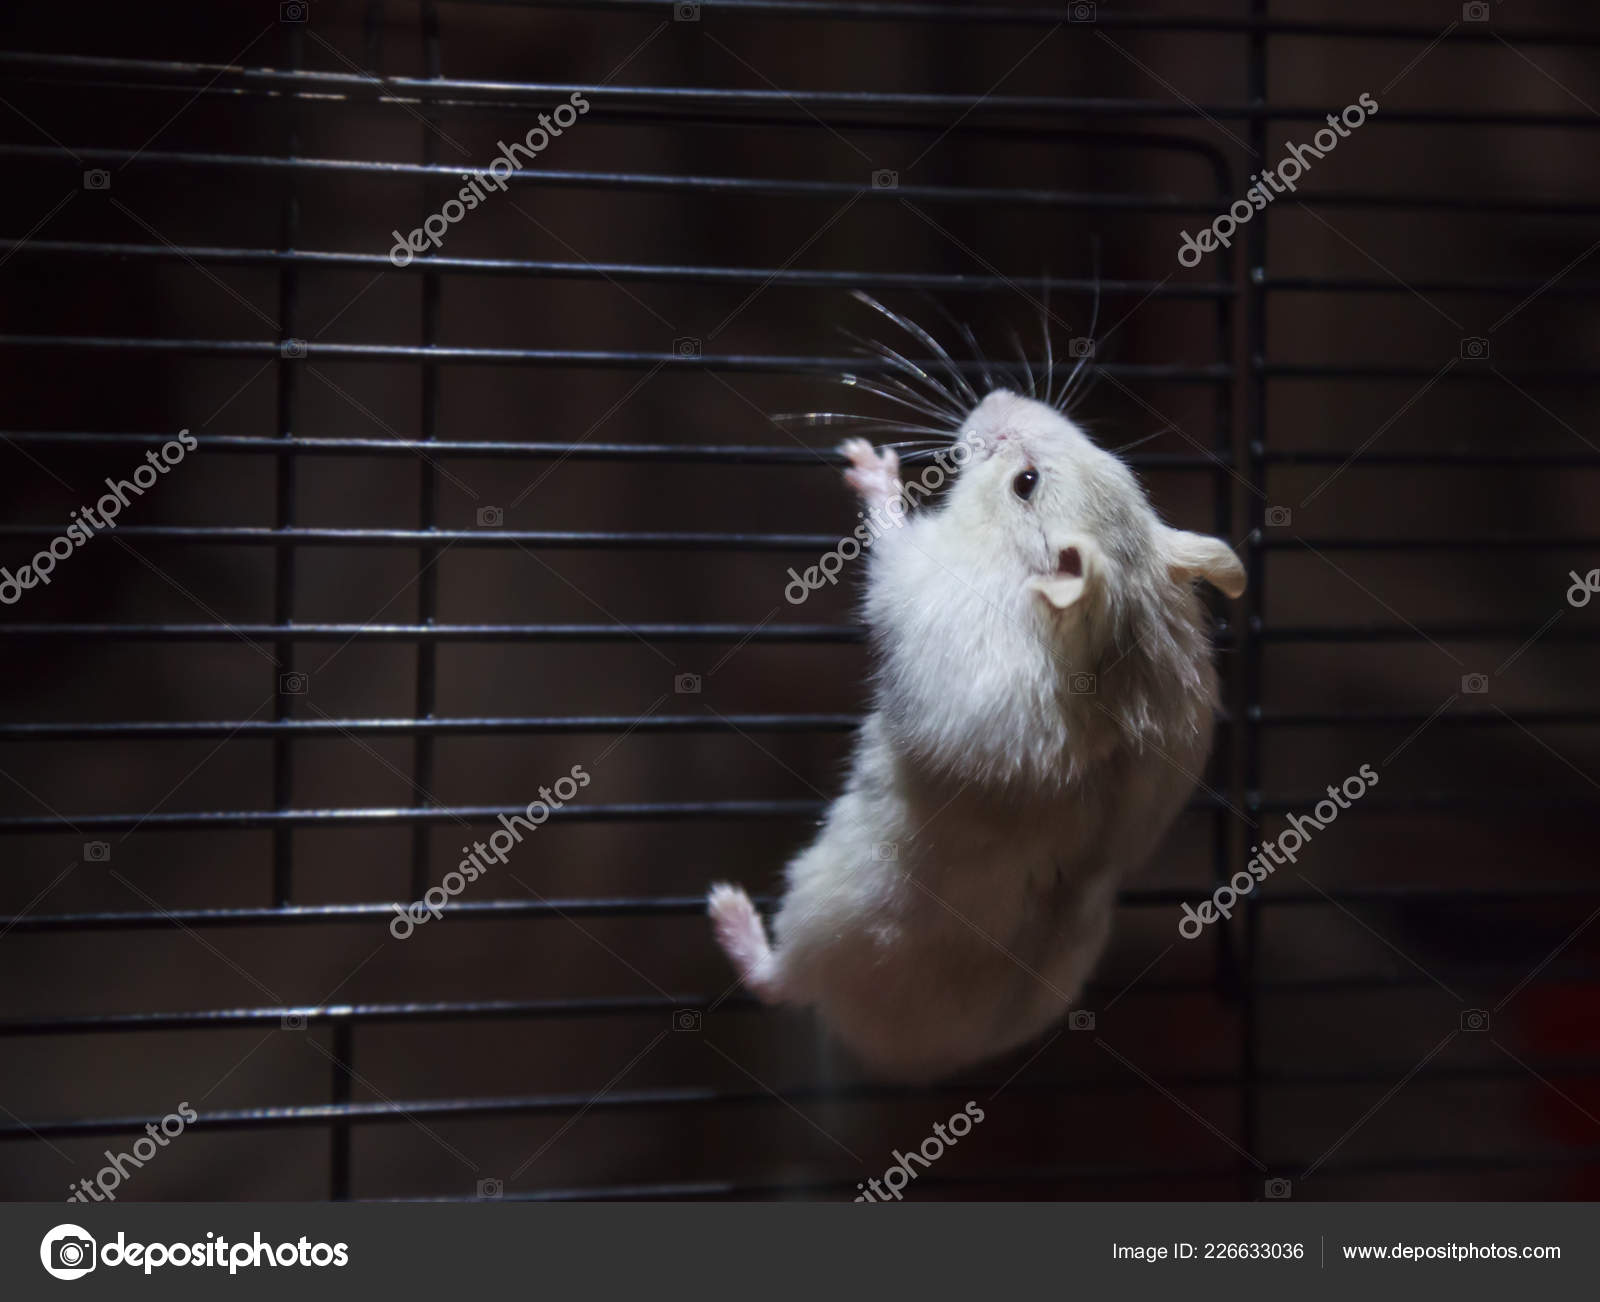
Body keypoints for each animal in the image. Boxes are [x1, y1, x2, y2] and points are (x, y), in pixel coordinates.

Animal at [707, 385, 1241, 1081]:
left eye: (1026, 483)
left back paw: (729, 913)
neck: (1116, 620)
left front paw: (868, 462)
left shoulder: (925, 585)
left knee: (777, 984)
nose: (999, 396)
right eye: (1111, 459)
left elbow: (892, 547)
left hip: (820, 905)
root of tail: (914, 1057)